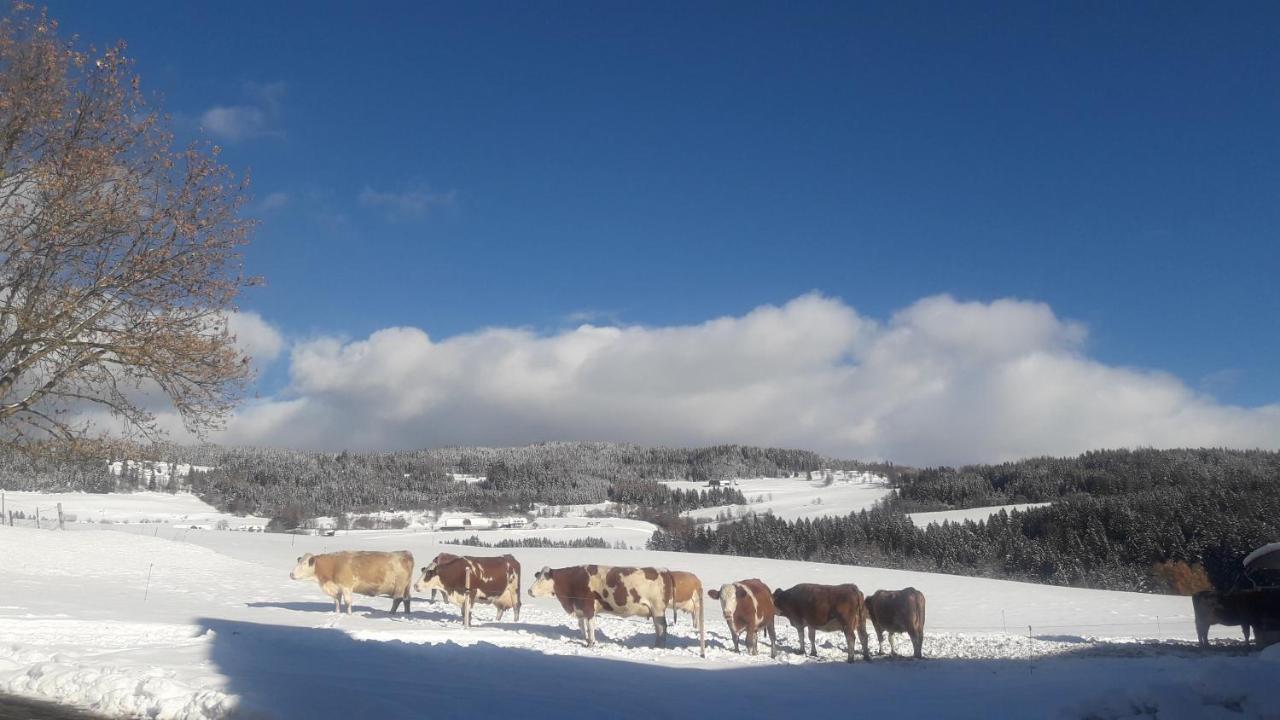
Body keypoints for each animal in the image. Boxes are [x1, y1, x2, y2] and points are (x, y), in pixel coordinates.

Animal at [527, 563, 675, 648]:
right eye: (537, 577)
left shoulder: (589, 607)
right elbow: (582, 627)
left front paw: (592, 644)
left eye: (542, 579)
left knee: (661, 628)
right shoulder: (580, 609)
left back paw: (658, 647)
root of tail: (664, 570)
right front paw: (587, 641)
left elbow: (591, 627)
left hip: (657, 609)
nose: (529, 591)